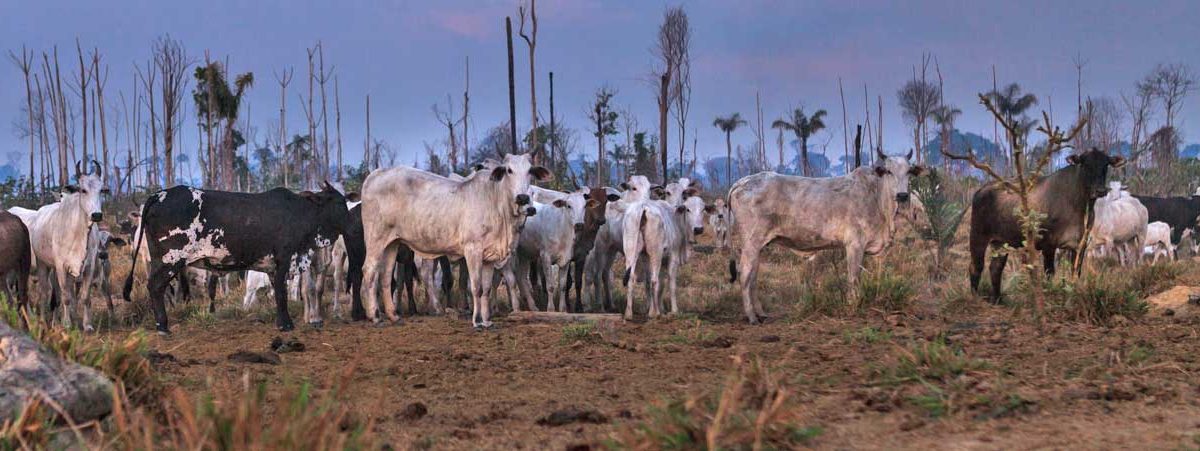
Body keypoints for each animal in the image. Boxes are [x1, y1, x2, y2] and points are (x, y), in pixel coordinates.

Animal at [7, 160, 106, 328]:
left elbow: (84, 296)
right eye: (83, 190)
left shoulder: (88, 266)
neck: (79, 233)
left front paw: (86, 324)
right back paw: (38, 318)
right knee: (39, 292)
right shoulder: (60, 266)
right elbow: (64, 296)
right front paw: (66, 324)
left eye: (100, 191)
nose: (96, 215)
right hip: (38, 265)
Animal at [124, 181, 355, 333]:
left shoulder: (272, 267)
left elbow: (277, 295)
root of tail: (158, 195)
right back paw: (163, 326)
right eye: (338, 203)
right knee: (155, 287)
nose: (352, 224)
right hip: (169, 260)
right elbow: (281, 295)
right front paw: (287, 325)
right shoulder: (283, 260)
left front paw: (281, 322)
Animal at [357, 152, 549, 328]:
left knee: (385, 275)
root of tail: (375, 175)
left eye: (530, 171)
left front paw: (487, 321)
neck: (496, 203)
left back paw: (393, 315)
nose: (523, 198)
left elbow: (486, 289)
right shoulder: (472, 250)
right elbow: (476, 287)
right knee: (370, 270)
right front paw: (477, 321)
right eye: (509, 170)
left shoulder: (489, 256)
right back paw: (375, 316)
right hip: (376, 238)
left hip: (392, 242)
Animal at [724, 150, 921, 323]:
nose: (902, 195)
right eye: (888, 171)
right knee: (745, 274)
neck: (877, 198)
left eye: (909, 171)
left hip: (758, 246)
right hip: (751, 242)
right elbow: (853, 277)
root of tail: (741, 182)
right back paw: (751, 317)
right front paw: (853, 305)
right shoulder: (854, 244)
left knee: (753, 276)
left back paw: (761, 313)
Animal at [964, 148, 1123, 301]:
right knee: (976, 266)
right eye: (1086, 164)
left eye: (1105, 165)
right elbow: (1049, 273)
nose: (1100, 190)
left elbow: (1075, 273)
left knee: (996, 268)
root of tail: (981, 190)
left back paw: (997, 299)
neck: (1079, 205)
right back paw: (975, 298)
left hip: (1000, 242)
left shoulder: (1080, 245)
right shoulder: (1048, 244)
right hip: (978, 236)